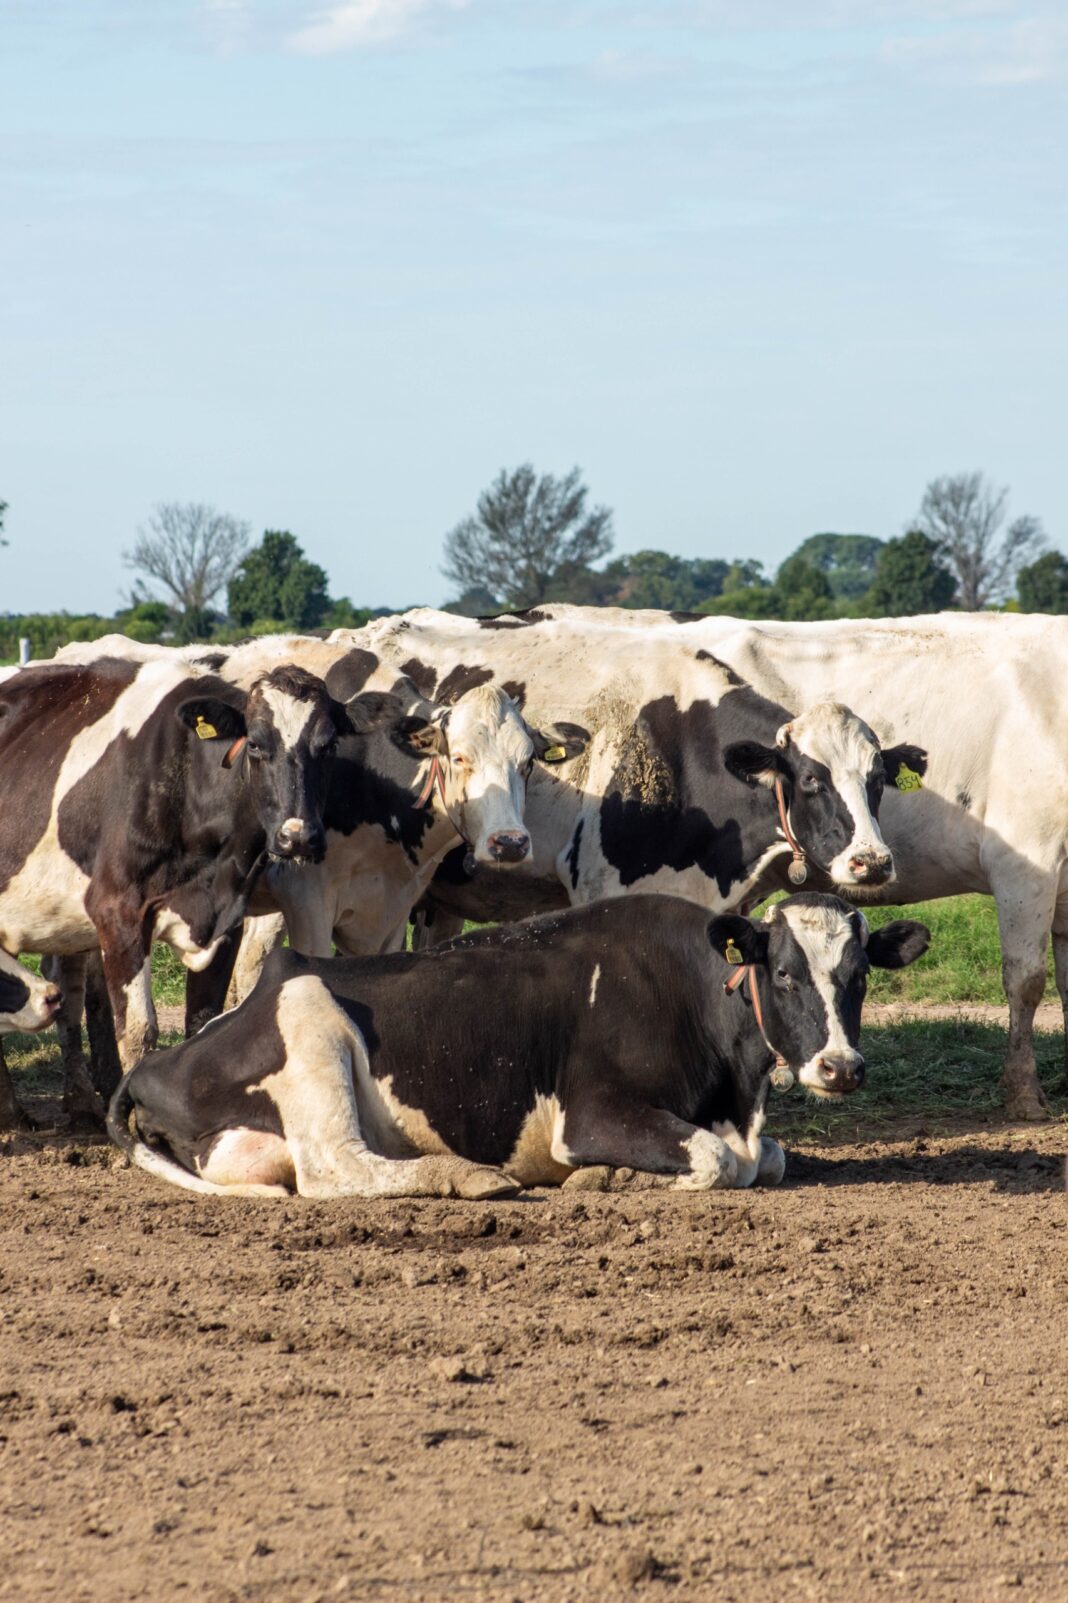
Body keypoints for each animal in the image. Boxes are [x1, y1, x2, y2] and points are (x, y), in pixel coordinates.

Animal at [0, 653, 368, 1128]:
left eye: (328, 745)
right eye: (255, 745)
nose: (298, 836)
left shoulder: (229, 916)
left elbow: (204, 1020)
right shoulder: (117, 911)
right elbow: (138, 1031)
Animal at [107, 892, 930, 1197]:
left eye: (859, 975)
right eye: (785, 973)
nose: (841, 1066)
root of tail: (160, 1062)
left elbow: (768, 1157)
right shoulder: (591, 1113)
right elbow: (723, 1161)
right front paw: (609, 1176)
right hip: (311, 1021)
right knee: (335, 1170)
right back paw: (470, 1177)